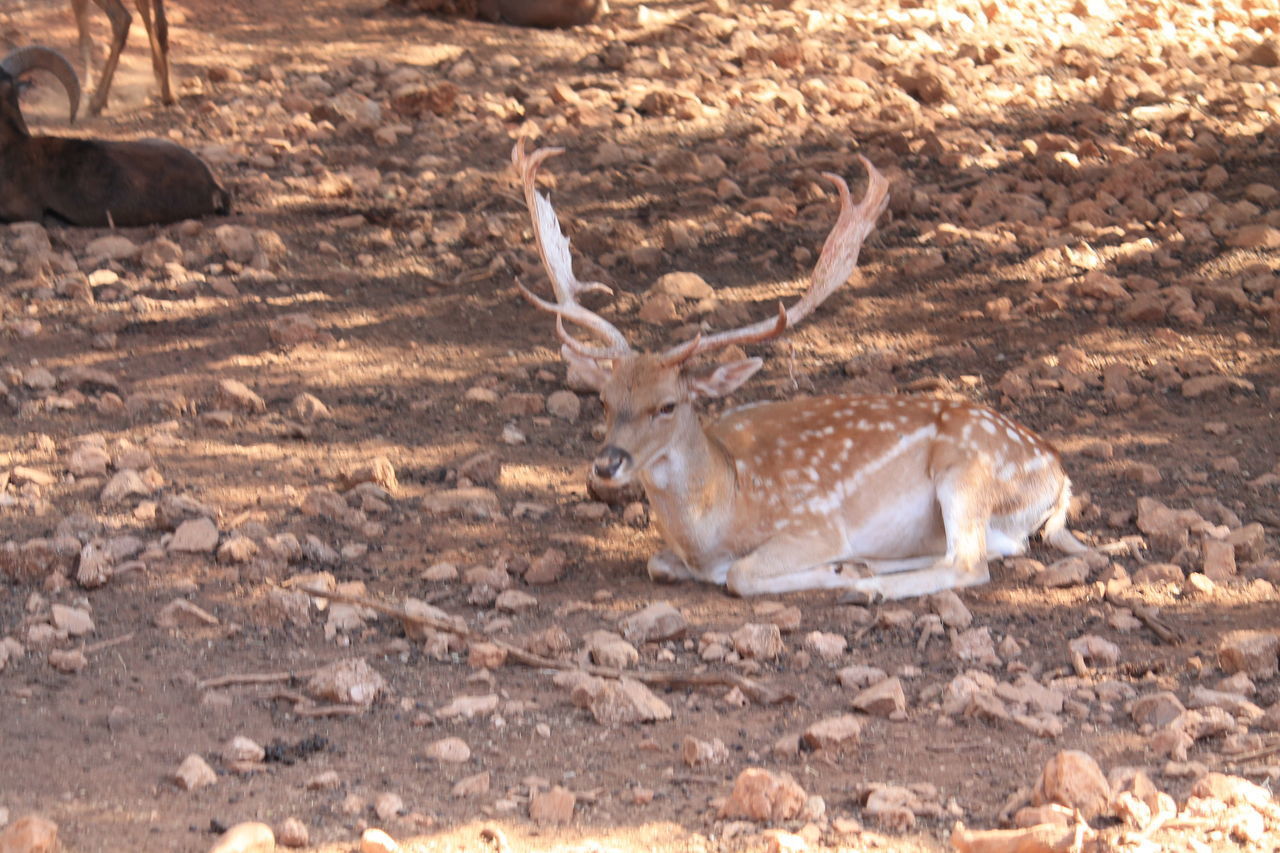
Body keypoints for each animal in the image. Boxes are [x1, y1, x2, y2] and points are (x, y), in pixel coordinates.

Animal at [512, 140, 1100, 596]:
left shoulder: (814, 524)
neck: (722, 511)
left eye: (668, 404)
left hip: (968, 471)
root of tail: (1059, 474)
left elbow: (741, 576)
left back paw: (865, 584)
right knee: (990, 550)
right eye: (606, 399)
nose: (607, 464)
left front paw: (835, 572)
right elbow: (658, 563)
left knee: (969, 562)